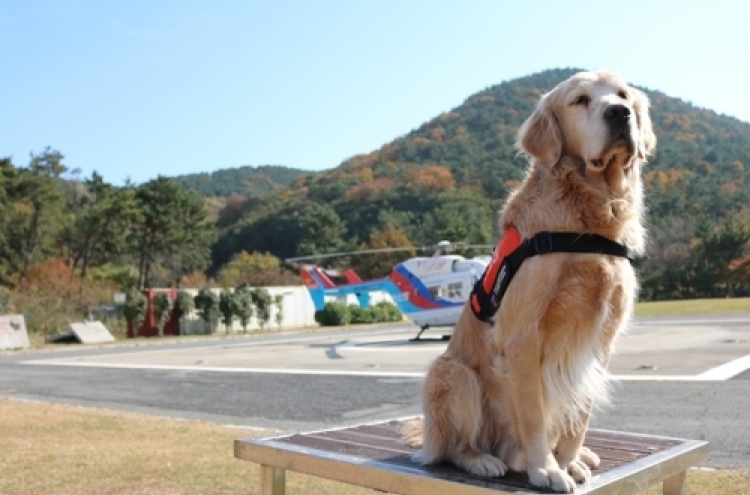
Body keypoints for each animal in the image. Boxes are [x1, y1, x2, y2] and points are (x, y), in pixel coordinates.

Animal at [406, 70, 656, 492]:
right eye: (580, 100)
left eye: (622, 95)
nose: (619, 114)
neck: (587, 220)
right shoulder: (523, 334)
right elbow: (535, 415)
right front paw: (547, 470)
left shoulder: (602, 338)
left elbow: (579, 414)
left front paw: (569, 461)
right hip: (454, 374)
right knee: (451, 449)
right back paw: (485, 460)